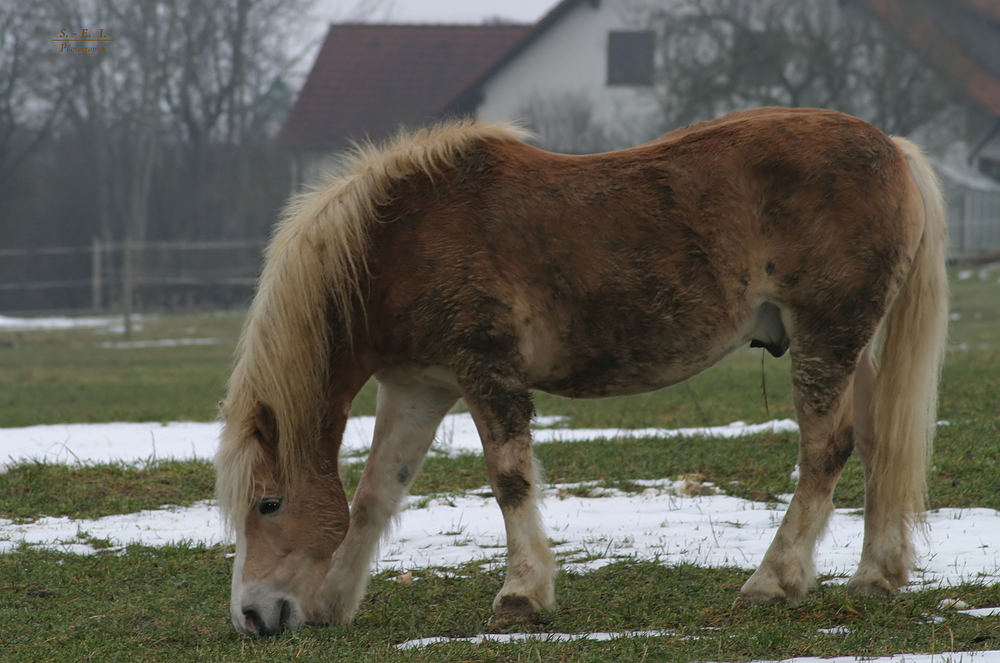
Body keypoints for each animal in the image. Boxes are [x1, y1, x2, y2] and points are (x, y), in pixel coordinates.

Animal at [215, 109, 948, 640]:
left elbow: (509, 478)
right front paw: (335, 602)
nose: (250, 616)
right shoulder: (419, 384)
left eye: (268, 503)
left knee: (826, 449)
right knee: (879, 445)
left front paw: (520, 596)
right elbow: (374, 496)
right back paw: (875, 576)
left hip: (826, 338)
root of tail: (893, 150)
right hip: (850, 347)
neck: (401, 239)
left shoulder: (485, 369)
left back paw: (773, 582)